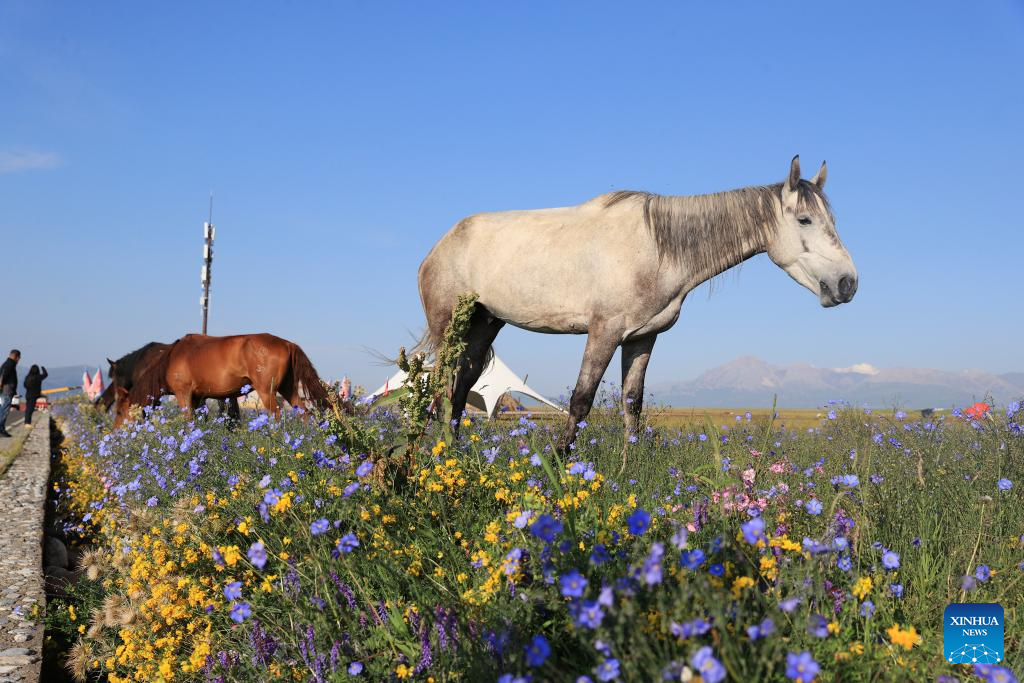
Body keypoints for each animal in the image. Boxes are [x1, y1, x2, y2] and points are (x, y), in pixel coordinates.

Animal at [120, 333, 329, 425]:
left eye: (120, 412)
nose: (116, 432)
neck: (172, 358)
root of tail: (287, 343)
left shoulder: (183, 394)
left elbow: (188, 421)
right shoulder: (198, 398)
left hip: (266, 391)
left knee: (276, 415)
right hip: (288, 389)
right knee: (305, 414)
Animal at [418, 156, 858, 461]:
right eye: (804, 220)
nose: (848, 283)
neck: (657, 248)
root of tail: (440, 245)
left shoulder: (642, 337)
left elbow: (633, 403)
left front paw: (630, 467)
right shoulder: (604, 332)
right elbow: (581, 399)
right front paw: (560, 463)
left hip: (485, 324)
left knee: (461, 386)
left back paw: (453, 449)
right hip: (449, 329)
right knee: (440, 387)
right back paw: (439, 455)